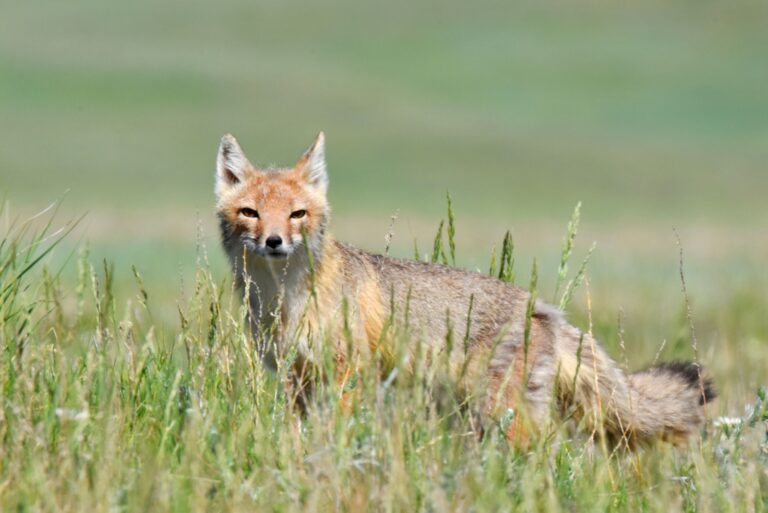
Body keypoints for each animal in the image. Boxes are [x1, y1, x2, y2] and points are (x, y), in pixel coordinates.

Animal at [215, 131, 715, 447]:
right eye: (251, 212)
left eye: (297, 214)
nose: (274, 241)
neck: (285, 297)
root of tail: (544, 309)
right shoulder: (295, 377)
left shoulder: (346, 374)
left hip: (499, 414)